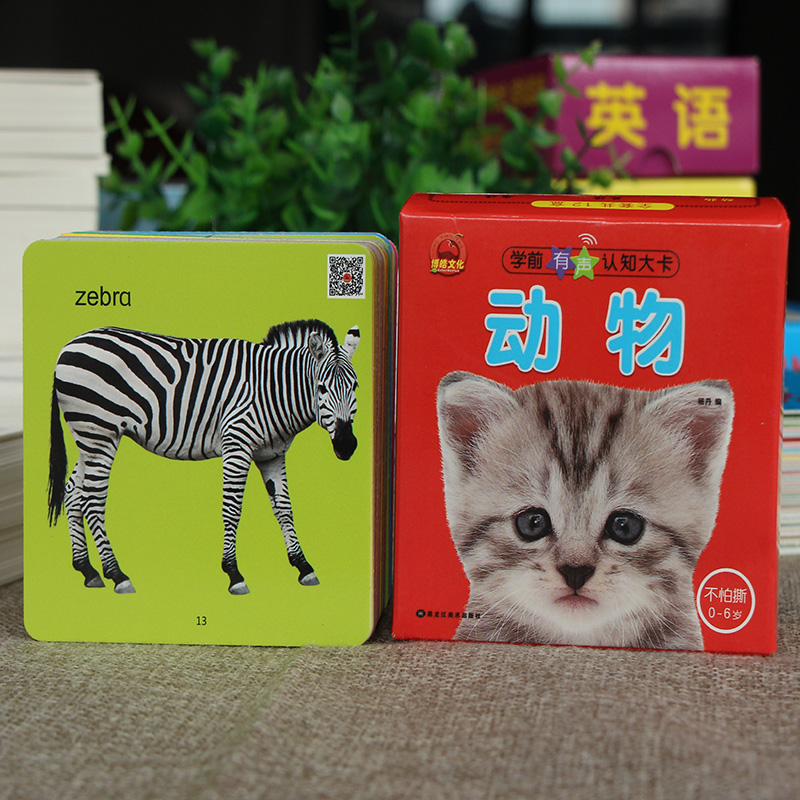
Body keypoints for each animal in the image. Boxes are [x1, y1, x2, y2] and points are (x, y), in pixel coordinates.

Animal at [47, 319, 360, 595]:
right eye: (321, 388)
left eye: (355, 386)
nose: (346, 446)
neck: (271, 390)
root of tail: (68, 346)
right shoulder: (237, 443)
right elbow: (232, 509)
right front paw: (234, 573)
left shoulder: (272, 454)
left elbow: (284, 509)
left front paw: (303, 567)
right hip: (100, 432)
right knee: (92, 499)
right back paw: (117, 574)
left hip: (88, 437)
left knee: (72, 491)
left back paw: (87, 570)